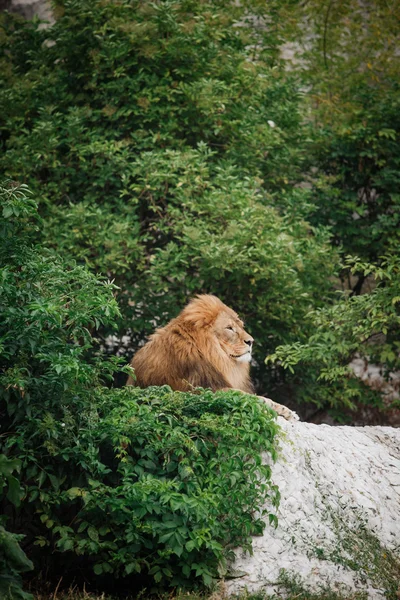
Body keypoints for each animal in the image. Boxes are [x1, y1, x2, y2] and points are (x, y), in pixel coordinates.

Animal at [126, 296, 298, 422]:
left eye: (240, 326)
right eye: (229, 328)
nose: (251, 341)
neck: (216, 356)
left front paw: (287, 411)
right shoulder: (201, 389)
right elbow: (247, 396)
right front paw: (271, 404)